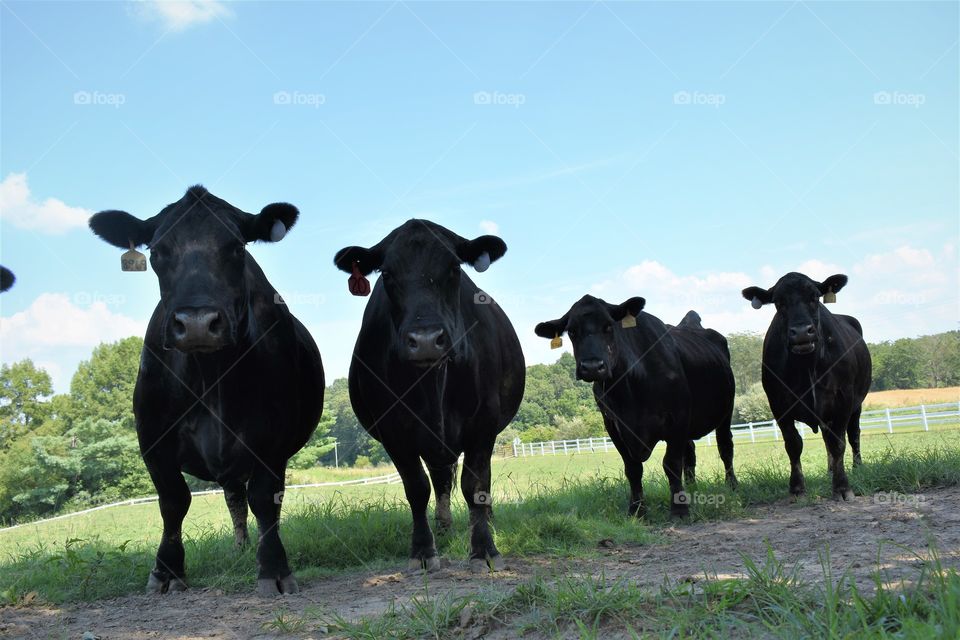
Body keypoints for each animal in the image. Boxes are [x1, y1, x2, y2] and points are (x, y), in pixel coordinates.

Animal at [89, 186, 324, 596]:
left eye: (236, 247)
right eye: (157, 251)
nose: (197, 323)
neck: (211, 378)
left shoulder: (272, 437)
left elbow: (264, 499)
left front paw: (273, 567)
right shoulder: (152, 437)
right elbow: (173, 500)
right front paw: (167, 570)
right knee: (233, 498)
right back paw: (240, 549)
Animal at [334, 220, 525, 572]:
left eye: (454, 268)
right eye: (387, 273)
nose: (424, 340)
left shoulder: (484, 421)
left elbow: (476, 485)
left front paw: (484, 549)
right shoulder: (393, 430)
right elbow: (417, 488)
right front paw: (423, 550)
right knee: (440, 479)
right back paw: (444, 527)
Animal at [535, 296, 737, 519]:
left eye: (609, 326)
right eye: (571, 331)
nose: (592, 367)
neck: (628, 391)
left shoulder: (679, 417)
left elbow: (671, 463)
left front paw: (679, 509)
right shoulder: (613, 425)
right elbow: (632, 468)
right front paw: (637, 510)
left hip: (726, 409)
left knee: (725, 446)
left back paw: (732, 485)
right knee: (690, 452)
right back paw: (692, 488)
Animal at [742, 272, 871, 501]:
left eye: (815, 297)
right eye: (778, 302)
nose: (802, 332)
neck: (807, 365)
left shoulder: (844, 398)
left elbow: (839, 442)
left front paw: (842, 487)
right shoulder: (778, 403)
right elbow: (793, 444)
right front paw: (797, 488)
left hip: (856, 404)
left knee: (853, 434)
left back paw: (857, 467)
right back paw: (830, 469)